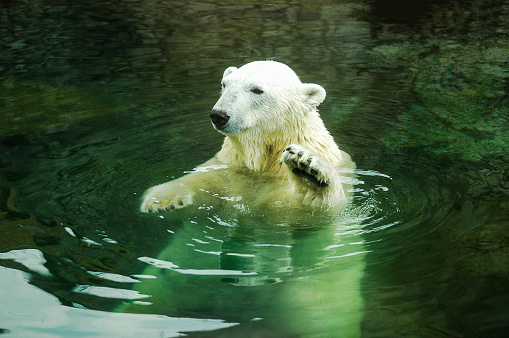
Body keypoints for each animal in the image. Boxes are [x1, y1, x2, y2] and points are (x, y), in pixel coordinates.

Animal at [139, 60, 354, 214]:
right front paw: (162, 199)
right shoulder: (230, 164)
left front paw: (309, 171)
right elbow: (204, 179)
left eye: (257, 90)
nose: (219, 115)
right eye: (224, 84)